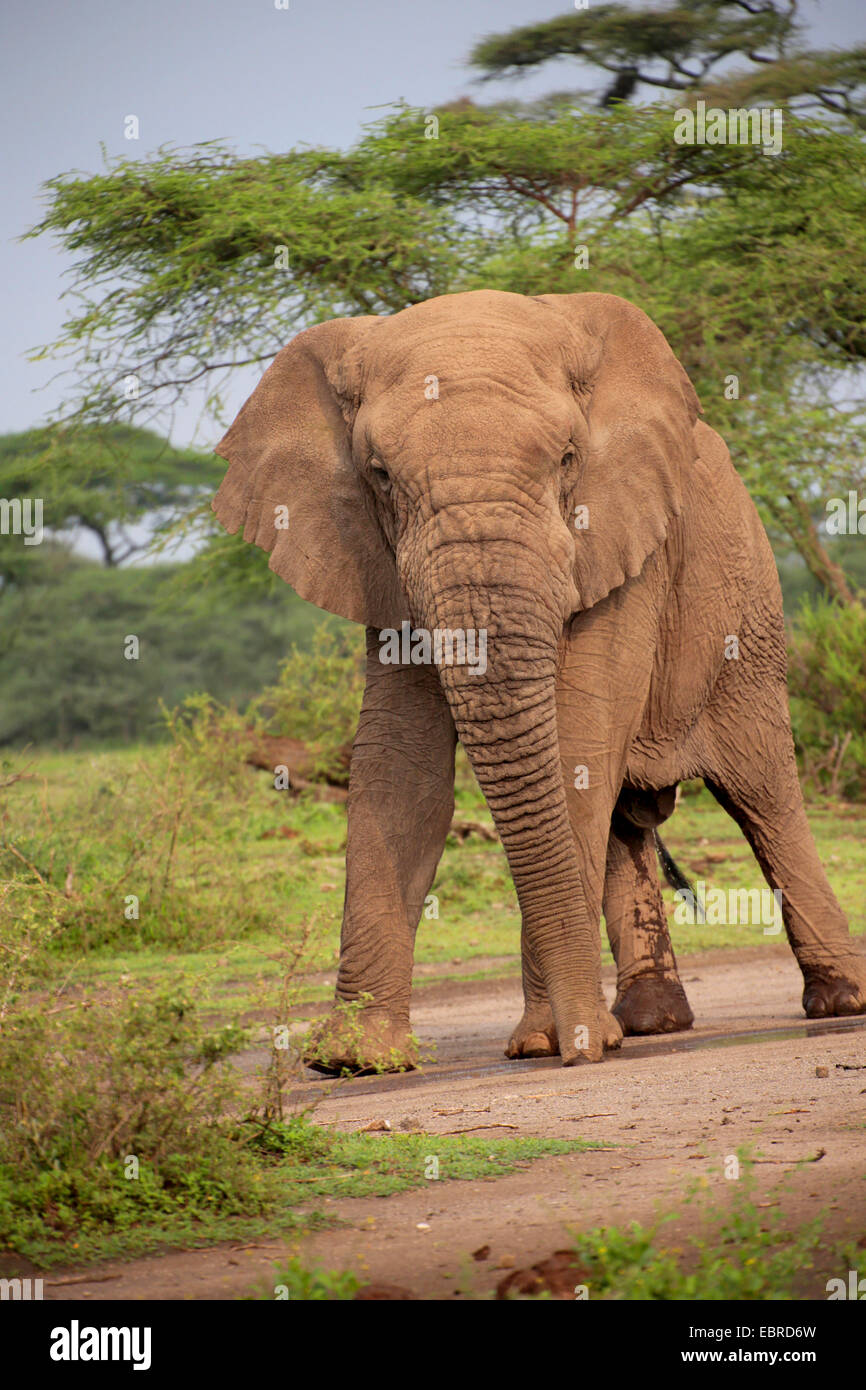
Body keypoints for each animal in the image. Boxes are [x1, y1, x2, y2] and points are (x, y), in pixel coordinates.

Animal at [211, 290, 866, 1073]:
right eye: (379, 475)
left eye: (566, 460)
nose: (586, 1048)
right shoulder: (379, 565)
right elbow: (400, 768)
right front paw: (357, 1060)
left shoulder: (621, 540)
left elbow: (575, 743)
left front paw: (549, 1042)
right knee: (629, 817)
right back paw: (649, 1021)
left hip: (747, 619)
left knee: (763, 795)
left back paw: (837, 1001)